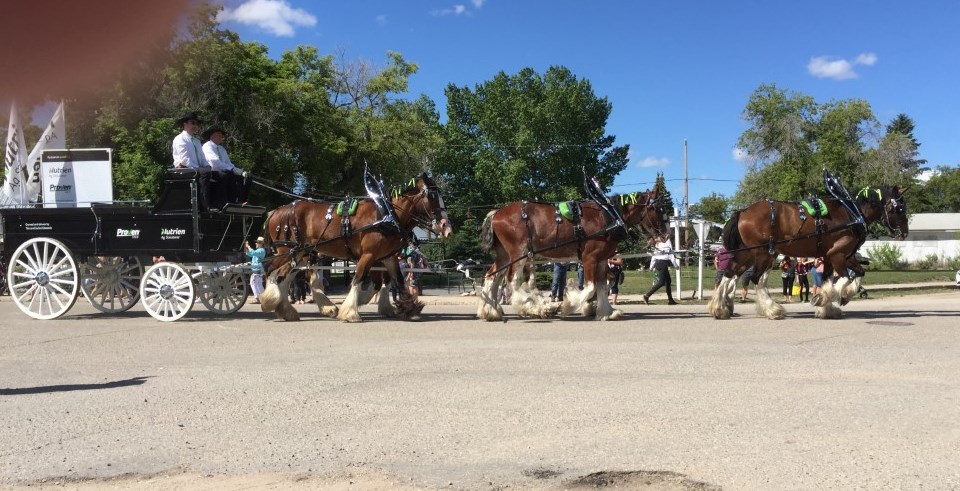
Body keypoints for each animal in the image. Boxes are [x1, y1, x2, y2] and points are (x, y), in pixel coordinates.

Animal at [258, 174, 454, 322]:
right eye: (432, 197)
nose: (447, 228)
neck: (387, 214)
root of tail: (276, 211)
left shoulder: (387, 257)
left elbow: (396, 281)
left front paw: (409, 308)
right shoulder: (368, 255)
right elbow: (359, 278)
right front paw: (351, 311)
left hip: (299, 253)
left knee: (285, 276)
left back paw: (285, 310)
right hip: (287, 251)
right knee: (271, 270)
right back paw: (270, 300)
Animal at [478, 189, 668, 322]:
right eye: (658, 209)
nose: (665, 235)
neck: (609, 216)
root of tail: (496, 213)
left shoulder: (601, 260)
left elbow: (602, 286)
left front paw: (606, 312)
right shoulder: (589, 258)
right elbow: (590, 287)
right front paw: (569, 305)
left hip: (505, 255)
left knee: (492, 277)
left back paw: (491, 312)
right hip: (519, 253)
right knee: (511, 280)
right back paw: (537, 309)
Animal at [708, 186, 912, 320]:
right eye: (899, 209)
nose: (904, 233)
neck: (851, 213)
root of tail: (742, 212)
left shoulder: (834, 256)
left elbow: (848, 275)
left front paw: (829, 307)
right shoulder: (838, 254)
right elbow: (844, 278)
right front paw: (829, 298)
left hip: (748, 253)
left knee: (729, 274)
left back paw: (720, 308)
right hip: (763, 253)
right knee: (756, 278)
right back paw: (772, 310)